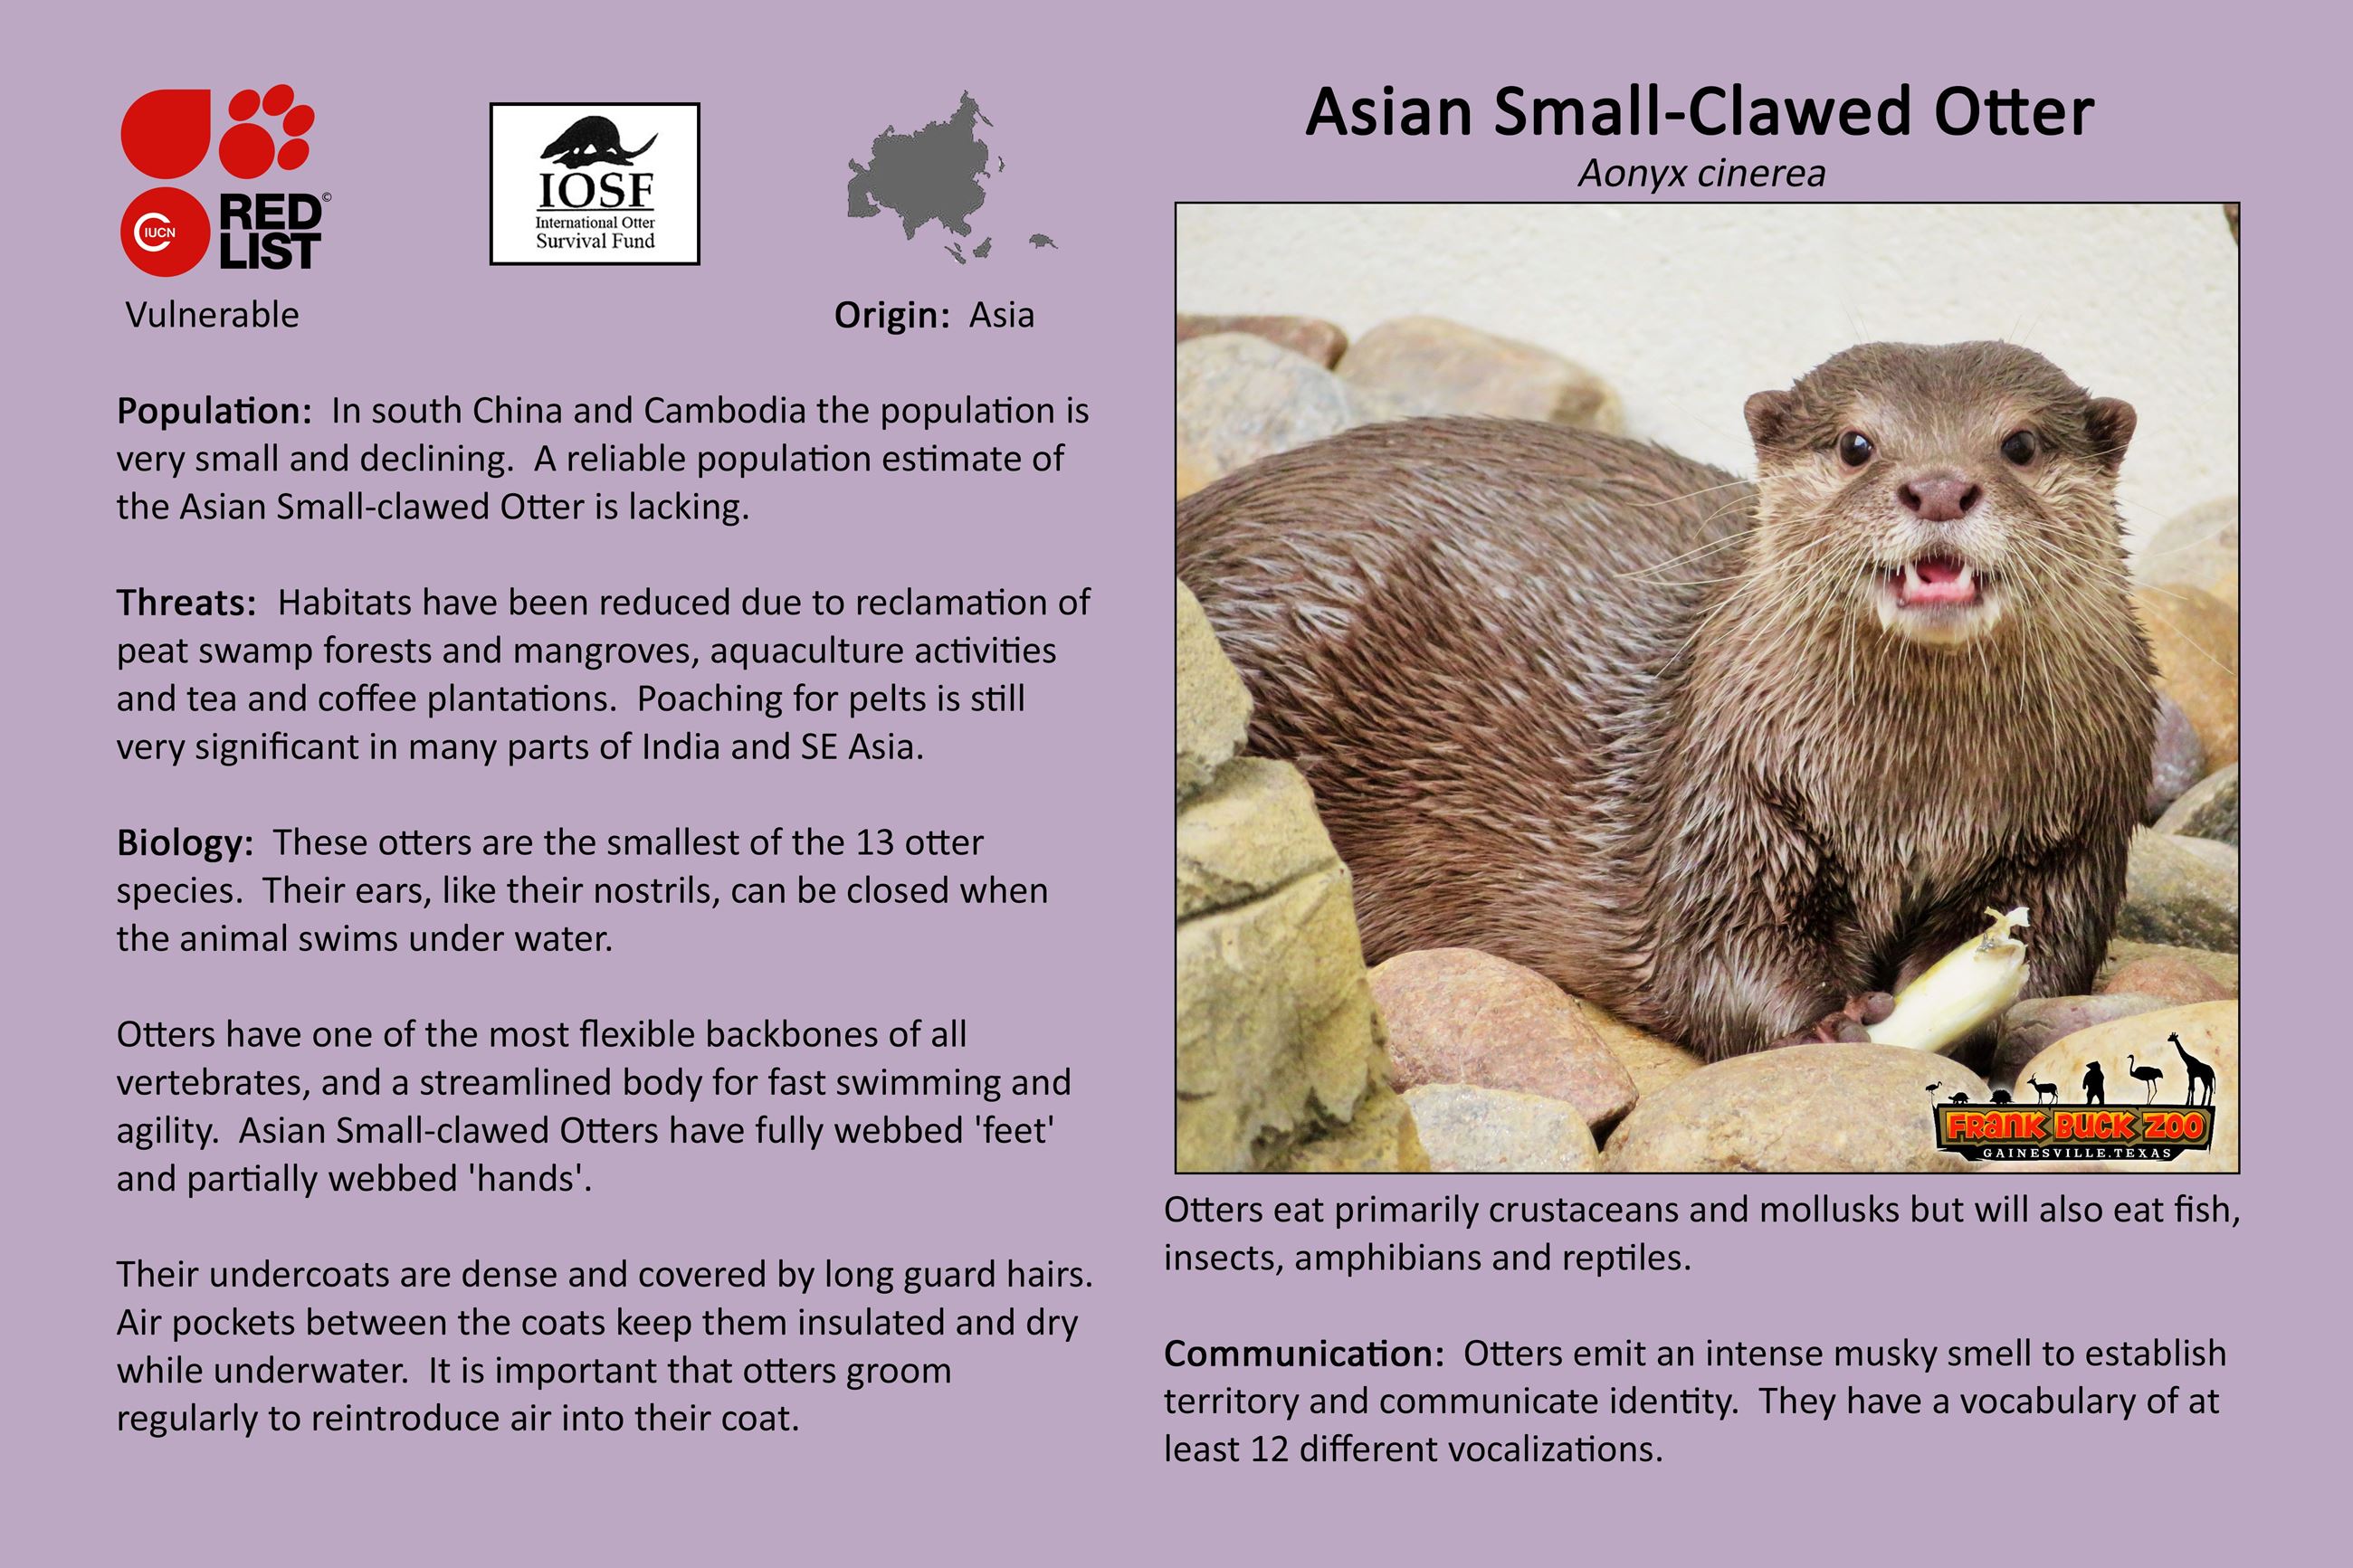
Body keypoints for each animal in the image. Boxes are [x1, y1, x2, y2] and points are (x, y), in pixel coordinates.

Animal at [1177, 342, 2154, 1060]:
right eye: (1855, 444)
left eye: (2019, 443)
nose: (1940, 485)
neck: (1911, 801)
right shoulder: (1724, 799)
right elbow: (1716, 950)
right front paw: (1832, 1018)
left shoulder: (2072, 827)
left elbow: (2047, 953)